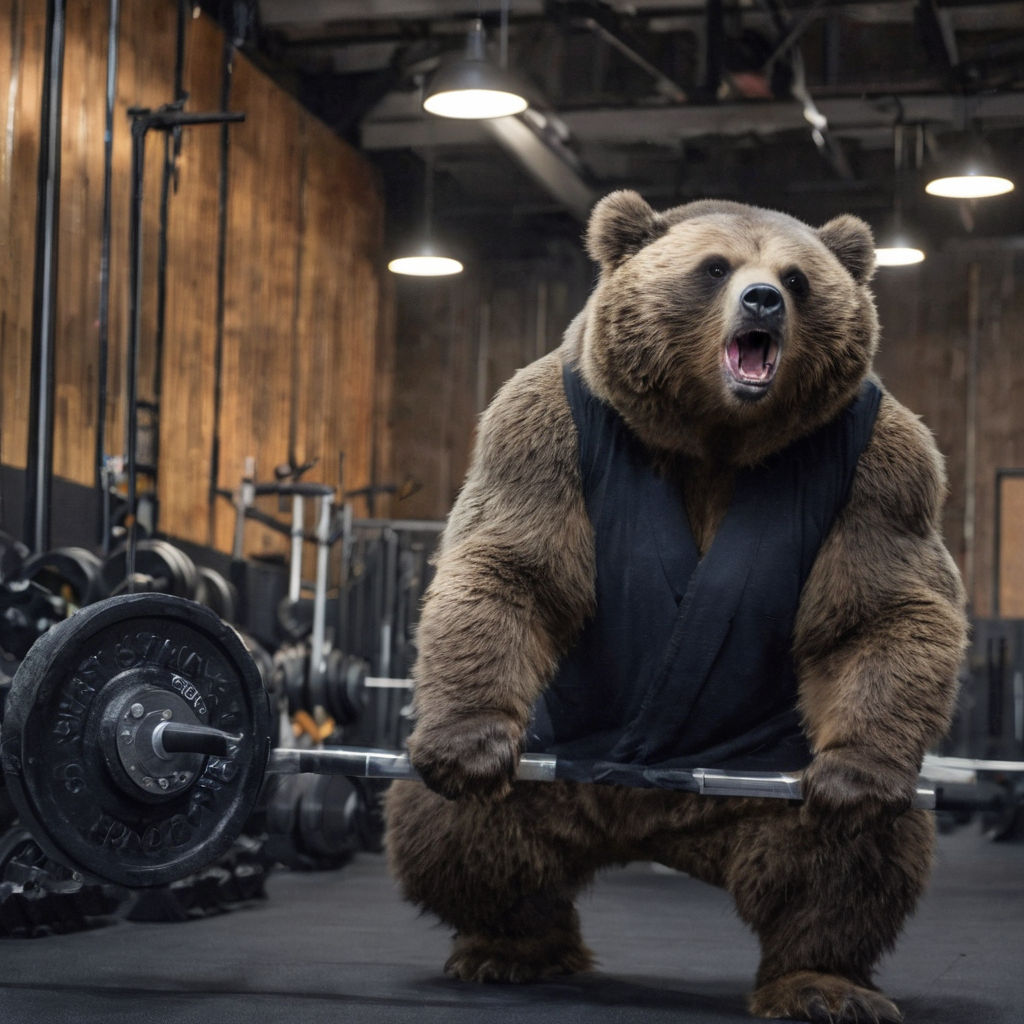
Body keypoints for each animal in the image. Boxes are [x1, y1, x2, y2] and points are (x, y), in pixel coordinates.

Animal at [385, 192, 966, 1024]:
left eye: (797, 276)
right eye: (715, 267)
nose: (763, 301)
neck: (715, 435)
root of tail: (648, 821)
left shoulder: (882, 469)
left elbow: (878, 609)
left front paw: (860, 777)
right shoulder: (546, 433)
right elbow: (514, 567)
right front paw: (466, 744)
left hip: (765, 774)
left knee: (843, 860)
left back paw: (822, 982)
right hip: (552, 756)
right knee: (460, 830)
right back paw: (509, 946)